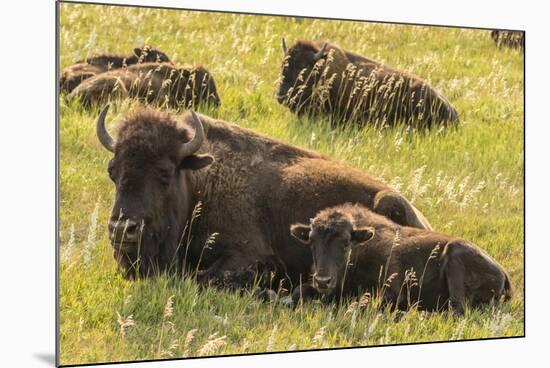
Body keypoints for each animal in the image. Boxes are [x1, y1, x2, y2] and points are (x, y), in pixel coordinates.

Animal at [97, 103, 434, 290]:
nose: (122, 229)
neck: (200, 184)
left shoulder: (248, 256)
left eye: (165, 172)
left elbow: (202, 276)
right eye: (113, 171)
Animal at [292, 203, 516, 314]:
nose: (323, 281)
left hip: (455, 256)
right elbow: (298, 291)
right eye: (311, 241)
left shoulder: (390, 291)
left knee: (457, 309)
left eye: (346, 242)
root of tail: (503, 273)